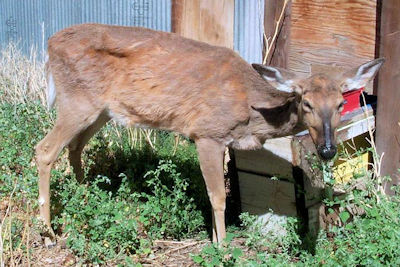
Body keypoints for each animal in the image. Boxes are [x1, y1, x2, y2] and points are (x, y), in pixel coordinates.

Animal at [36, 24, 384, 248]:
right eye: (306, 102)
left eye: (341, 104)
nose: (327, 150)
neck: (251, 112)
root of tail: (50, 44)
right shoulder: (206, 133)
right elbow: (218, 196)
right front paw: (222, 247)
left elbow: (212, 193)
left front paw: (217, 239)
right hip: (77, 101)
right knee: (44, 150)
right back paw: (50, 232)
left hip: (101, 111)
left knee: (75, 148)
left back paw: (86, 198)